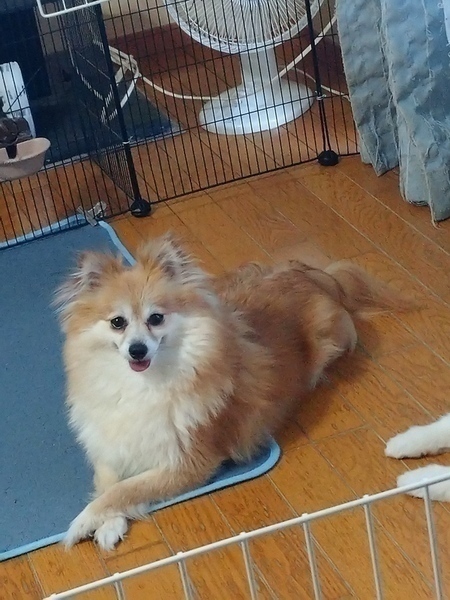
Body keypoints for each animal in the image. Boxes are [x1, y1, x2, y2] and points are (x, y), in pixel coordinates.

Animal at [55, 233, 409, 550]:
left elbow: (125, 490)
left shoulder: (190, 463)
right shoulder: (111, 447)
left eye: (156, 318)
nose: (137, 349)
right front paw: (109, 524)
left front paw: (83, 522)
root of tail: (309, 274)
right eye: (117, 323)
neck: (145, 385)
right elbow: (109, 485)